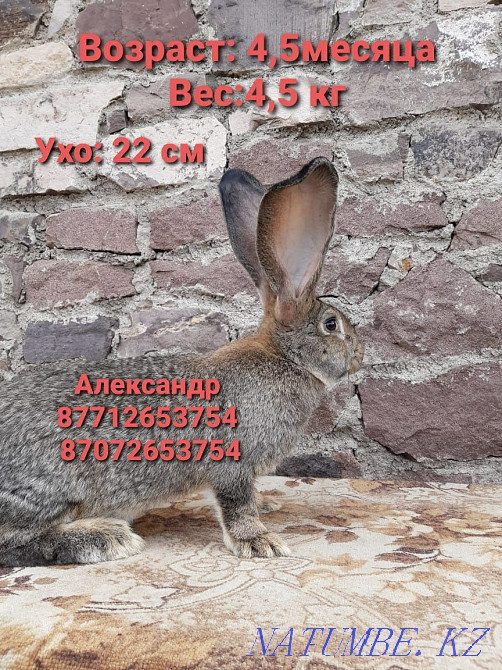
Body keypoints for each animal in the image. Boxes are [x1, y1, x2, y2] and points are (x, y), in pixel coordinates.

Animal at [0, 157, 363, 566]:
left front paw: (265, 505)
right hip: (52, 487)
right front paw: (260, 541)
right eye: (332, 324)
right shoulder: (232, 463)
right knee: (14, 542)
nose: (360, 354)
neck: (284, 358)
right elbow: (237, 507)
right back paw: (105, 538)